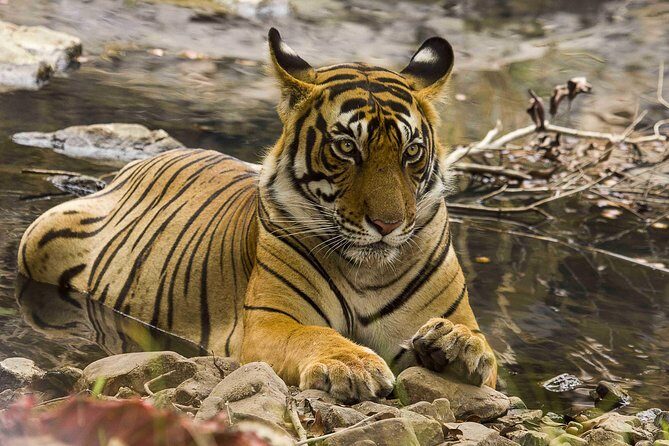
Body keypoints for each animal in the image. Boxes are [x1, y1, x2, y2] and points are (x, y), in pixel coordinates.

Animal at [18, 28, 497, 402]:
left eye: (411, 152)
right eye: (347, 147)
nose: (388, 225)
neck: (368, 271)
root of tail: (141, 160)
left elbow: (482, 349)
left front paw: (455, 344)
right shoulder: (268, 320)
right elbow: (312, 334)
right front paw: (352, 363)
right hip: (38, 238)